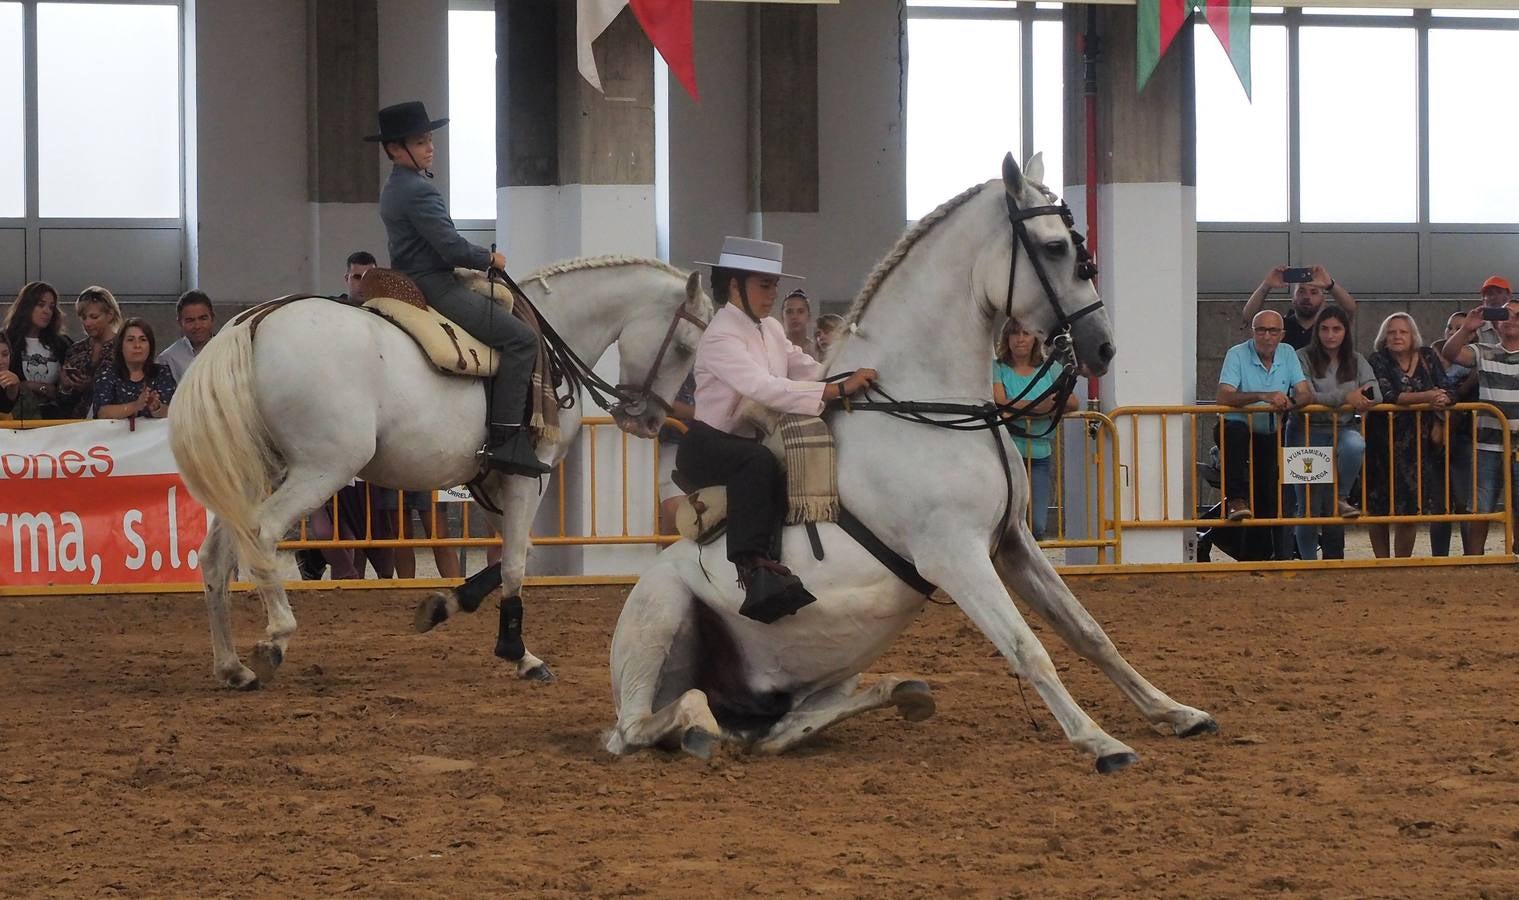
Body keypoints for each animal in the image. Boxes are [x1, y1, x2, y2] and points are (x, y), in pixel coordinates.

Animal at [173, 256, 710, 693]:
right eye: (686, 348)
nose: (649, 422)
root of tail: (256, 319)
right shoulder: (526, 479)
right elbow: (516, 563)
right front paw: (518, 652)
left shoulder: (490, 482)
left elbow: (514, 556)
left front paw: (445, 609)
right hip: (321, 471)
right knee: (262, 535)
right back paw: (276, 638)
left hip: (258, 474)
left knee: (217, 556)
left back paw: (232, 667)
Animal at [610, 156, 1215, 772]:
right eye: (1053, 247)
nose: (1103, 348)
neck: (928, 406)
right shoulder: (955, 556)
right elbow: (1029, 649)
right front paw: (1100, 742)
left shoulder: (1013, 543)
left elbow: (1089, 633)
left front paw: (1176, 713)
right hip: (661, 613)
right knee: (644, 725)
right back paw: (697, 725)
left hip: (809, 679)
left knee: (775, 730)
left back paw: (900, 693)